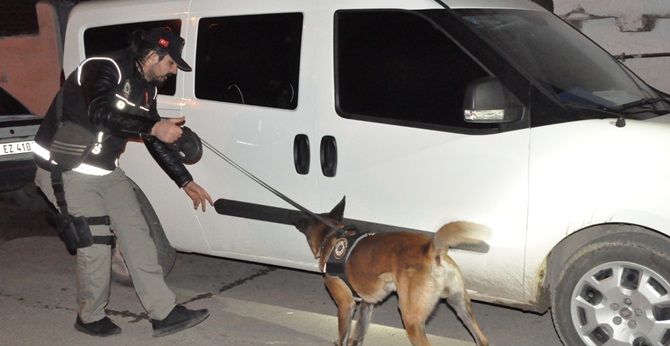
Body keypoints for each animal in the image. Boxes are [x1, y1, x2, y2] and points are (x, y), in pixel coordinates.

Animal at [292, 197, 490, 346]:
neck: (331, 236)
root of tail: (431, 250)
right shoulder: (367, 304)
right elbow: (357, 336)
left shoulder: (345, 304)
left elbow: (343, 337)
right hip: (460, 305)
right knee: (482, 340)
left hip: (412, 320)